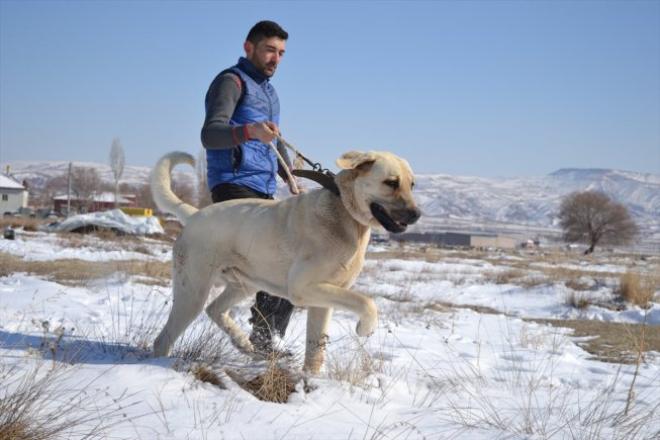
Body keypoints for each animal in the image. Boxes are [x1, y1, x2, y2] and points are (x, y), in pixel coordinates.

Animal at [151, 150, 420, 373]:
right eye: (391, 183)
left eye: (412, 184)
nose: (417, 215)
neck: (345, 214)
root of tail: (194, 214)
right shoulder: (303, 289)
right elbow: (367, 302)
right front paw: (365, 328)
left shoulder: (324, 300)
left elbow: (316, 348)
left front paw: (311, 381)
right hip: (192, 292)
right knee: (164, 339)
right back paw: (163, 363)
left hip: (244, 284)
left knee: (214, 309)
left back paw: (242, 343)